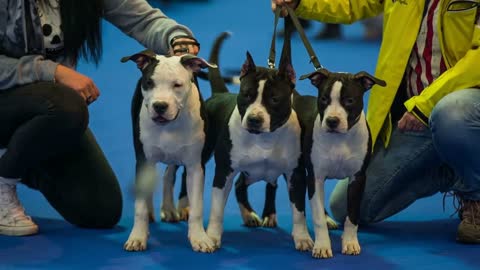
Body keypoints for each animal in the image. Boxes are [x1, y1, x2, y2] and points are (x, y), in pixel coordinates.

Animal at [121, 49, 217, 253]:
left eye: (177, 85)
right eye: (149, 83)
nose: (159, 105)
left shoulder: (195, 166)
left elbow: (196, 207)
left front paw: (199, 238)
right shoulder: (143, 160)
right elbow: (139, 207)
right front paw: (137, 237)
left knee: (169, 174)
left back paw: (169, 209)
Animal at [298, 67, 388, 258]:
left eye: (349, 100)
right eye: (324, 99)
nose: (332, 121)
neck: (340, 139)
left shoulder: (358, 178)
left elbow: (352, 214)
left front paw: (351, 243)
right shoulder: (315, 177)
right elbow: (317, 216)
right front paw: (322, 246)